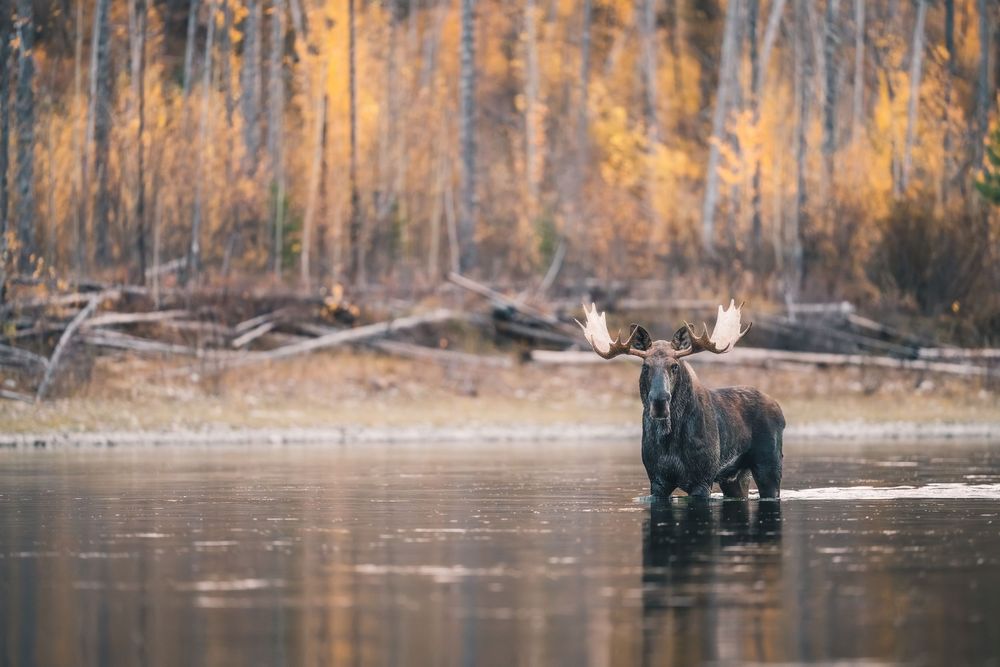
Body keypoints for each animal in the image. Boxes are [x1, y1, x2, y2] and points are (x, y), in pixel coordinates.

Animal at [577, 300, 784, 499]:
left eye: (674, 365)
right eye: (645, 366)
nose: (659, 402)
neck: (670, 439)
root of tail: (780, 410)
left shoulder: (703, 479)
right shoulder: (657, 481)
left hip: (770, 466)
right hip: (735, 476)